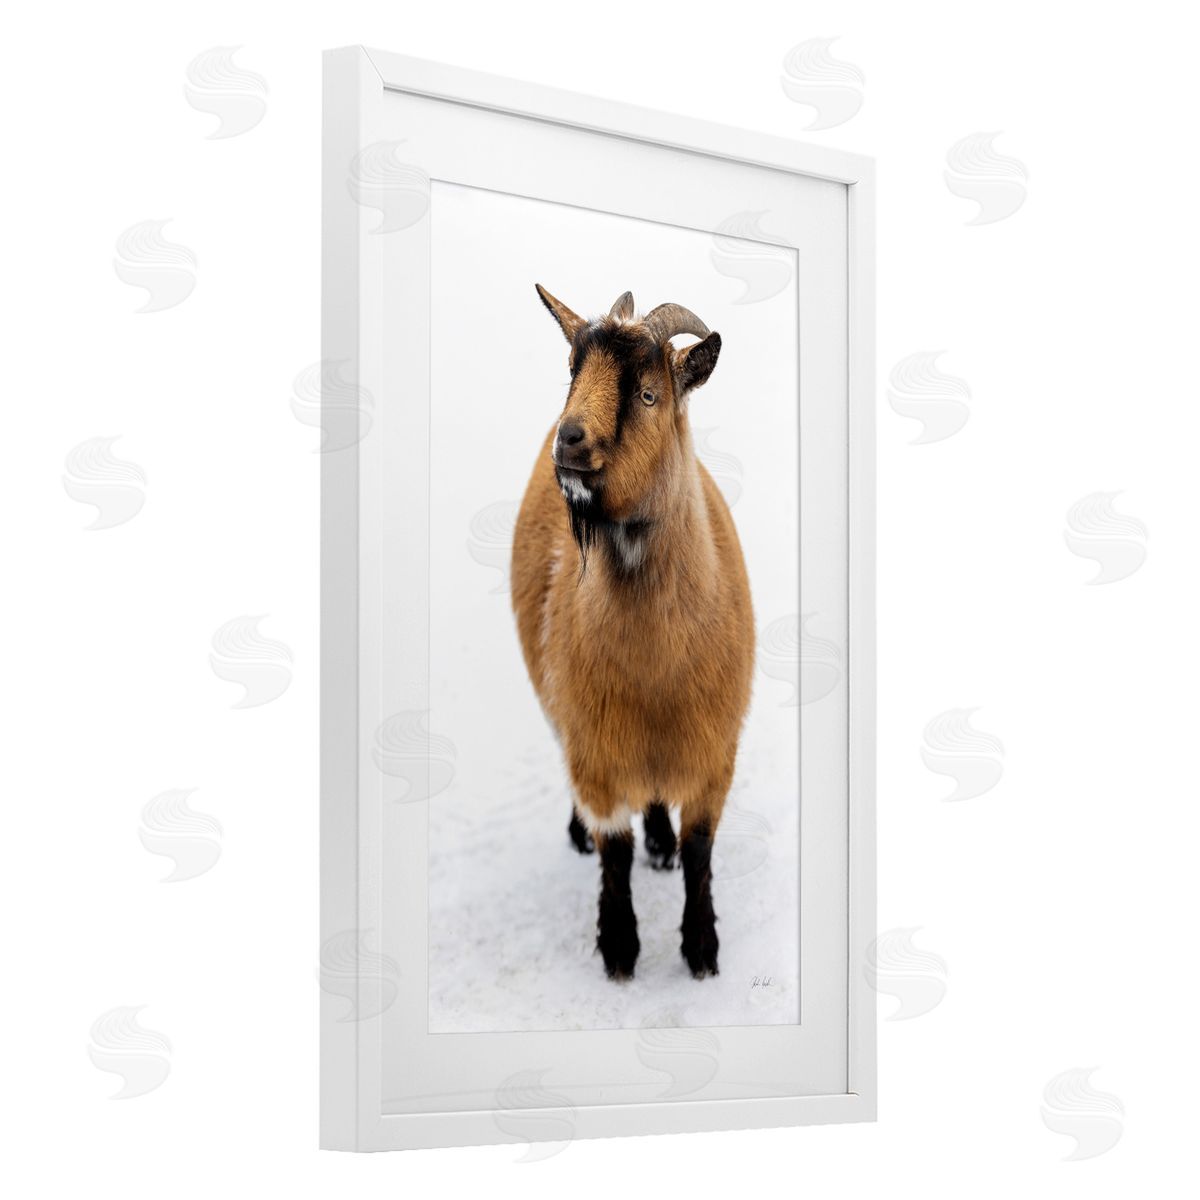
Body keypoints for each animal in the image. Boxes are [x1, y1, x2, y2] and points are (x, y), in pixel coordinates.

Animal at [511, 285, 755, 980]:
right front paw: (619, 948)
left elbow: (700, 850)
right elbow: (613, 851)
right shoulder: (596, 744)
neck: (655, 671)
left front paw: (701, 950)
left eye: (648, 394)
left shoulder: (714, 750)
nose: (569, 440)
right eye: (573, 371)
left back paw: (660, 842)